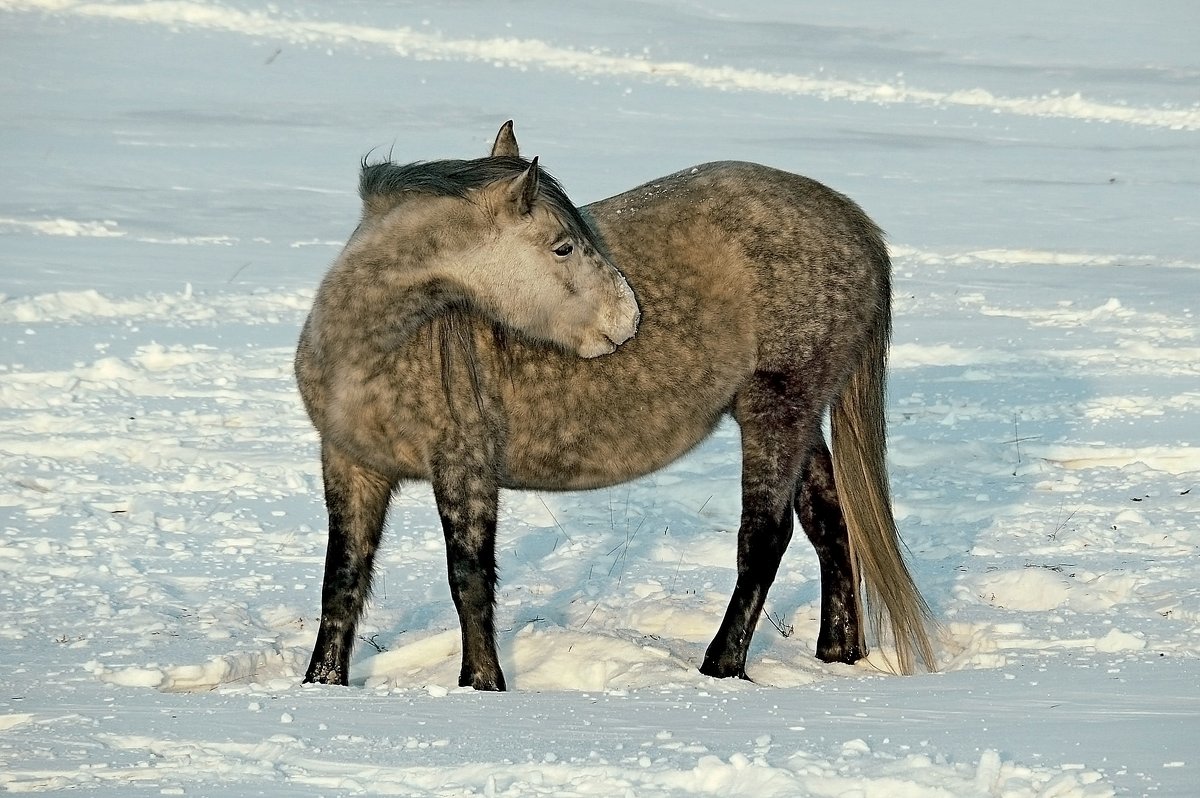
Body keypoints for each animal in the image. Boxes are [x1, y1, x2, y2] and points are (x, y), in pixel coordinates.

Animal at [292, 121, 936, 686]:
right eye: (564, 246)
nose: (629, 319)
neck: (376, 351)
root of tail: (853, 224)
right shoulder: (351, 467)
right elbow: (341, 581)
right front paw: (322, 682)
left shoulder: (464, 468)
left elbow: (468, 580)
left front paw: (483, 684)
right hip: (797, 415)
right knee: (829, 522)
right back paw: (837, 652)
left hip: (777, 407)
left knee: (764, 538)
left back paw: (721, 666)